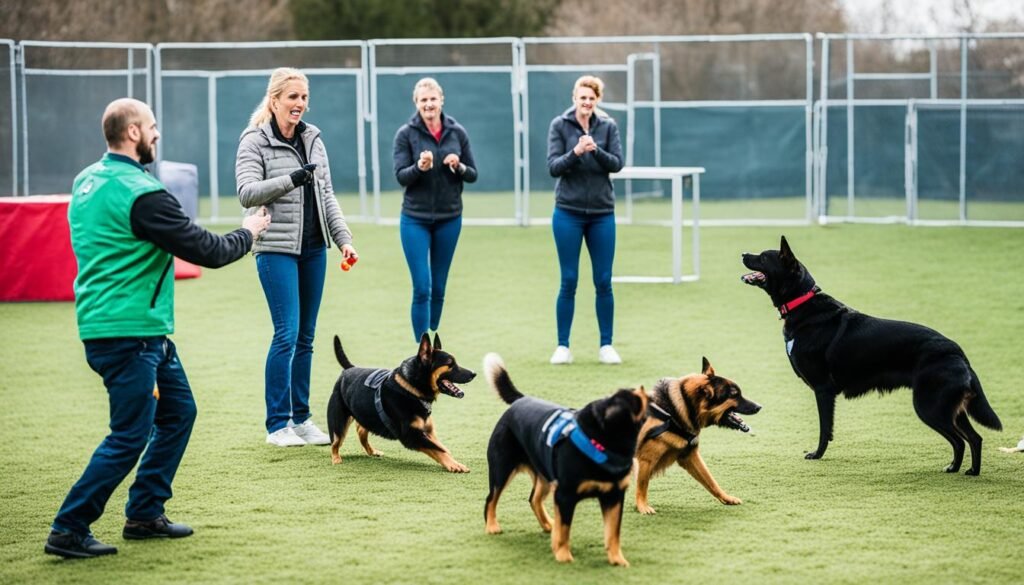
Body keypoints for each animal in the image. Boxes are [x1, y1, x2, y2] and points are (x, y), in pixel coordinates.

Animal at [323, 331, 475, 473]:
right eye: (450, 364)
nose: (474, 373)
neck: (412, 389)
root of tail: (349, 369)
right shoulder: (411, 435)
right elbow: (439, 450)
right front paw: (454, 464)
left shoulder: (428, 432)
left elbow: (441, 448)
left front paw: (452, 461)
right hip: (338, 422)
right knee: (335, 442)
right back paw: (336, 458)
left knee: (361, 432)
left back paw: (372, 451)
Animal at [481, 352, 647, 569]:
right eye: (634, 398)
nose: (641, 387)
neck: (600, 443)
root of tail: (520, 400)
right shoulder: (565, 495)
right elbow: (565, 530)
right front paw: (563, 555)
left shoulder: (614, 496)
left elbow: (613, 533)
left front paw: (617, 559)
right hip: (502, 469)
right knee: (491, 499)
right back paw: (492, 526)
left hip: (544, 474)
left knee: (534, 499)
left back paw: (548, 525)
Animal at [630, 358, 761, 514]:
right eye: (734, 394)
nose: (759, 406)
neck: (672, 414)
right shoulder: (645, 460)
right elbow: (642, 485)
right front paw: (642, 506)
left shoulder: (690, 456)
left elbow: (710, 481)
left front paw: (726, 498)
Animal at [741, 235, 1003, 473]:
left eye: (763, 257)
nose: (742, 253)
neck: (802, 303)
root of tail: (958, 352)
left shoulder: (823, 390)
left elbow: (825, 429)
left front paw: (817, 454)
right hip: (950, 409)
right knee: (974, 438)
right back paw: (966, 470)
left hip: (930, 407)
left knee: (960, 440)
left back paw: (961, 469)